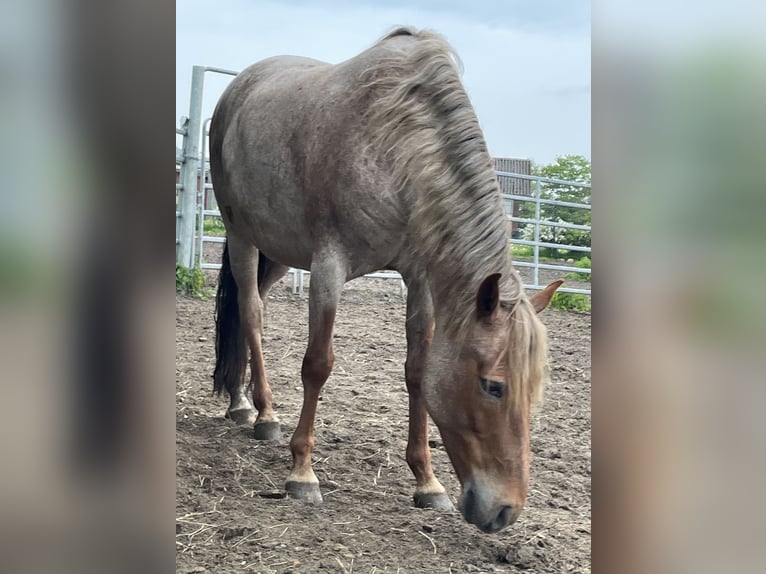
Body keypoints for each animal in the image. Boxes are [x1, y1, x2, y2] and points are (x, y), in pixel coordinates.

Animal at [210, 28, 564, 536]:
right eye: (493, 386)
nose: (504, 511)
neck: (395, 148)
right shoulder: (328, 266)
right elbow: (317, 364)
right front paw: (302, 473)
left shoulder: (420, 279)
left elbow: (417, 370)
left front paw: (427, 482)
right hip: (242, 237)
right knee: (251, 314)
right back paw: (264, 414)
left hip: (275, 251)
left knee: (248, 306)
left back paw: (243, 403)